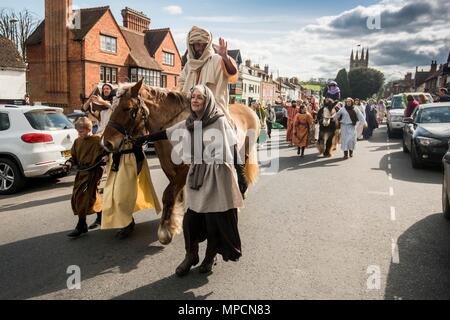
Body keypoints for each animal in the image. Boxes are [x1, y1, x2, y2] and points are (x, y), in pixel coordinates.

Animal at [102, 80, 260, 245]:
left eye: (127, 108)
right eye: (111, 107)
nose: (107, 143)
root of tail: (249, 109)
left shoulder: (185, 168)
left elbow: (168, 194)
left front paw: (165, 231)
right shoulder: (168, 168)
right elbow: (175, 194)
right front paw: (175, 220)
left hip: (245, 150)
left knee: (239, 170)